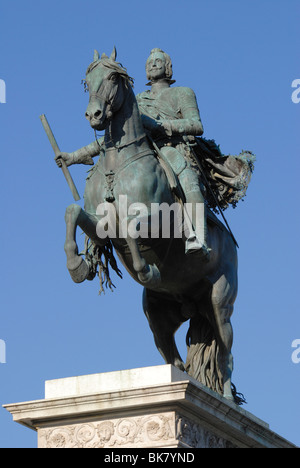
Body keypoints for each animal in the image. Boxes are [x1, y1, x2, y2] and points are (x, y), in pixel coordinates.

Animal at [63, 49, 244, 404]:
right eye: (87, 81)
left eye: (113, 77)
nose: (94, 115)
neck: (119, 165)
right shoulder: (100, 224)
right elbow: (73, 212)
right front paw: (78, 266)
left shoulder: (159, 223)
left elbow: (132, 229)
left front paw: (147, 270)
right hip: (159, 317)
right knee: (177, 360)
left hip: (220, 303)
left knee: (226, 353)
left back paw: (227, 397)